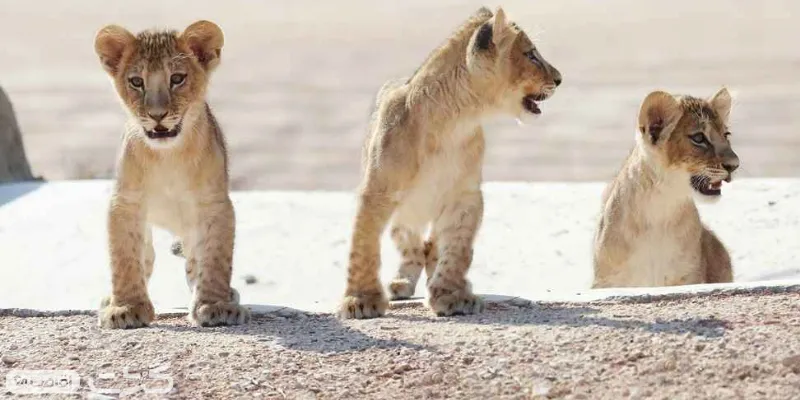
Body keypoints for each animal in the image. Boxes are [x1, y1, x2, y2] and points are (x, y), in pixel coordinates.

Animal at [94, 20, 250, 328]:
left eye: (177, 78)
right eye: (136, 82)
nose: (157, 115)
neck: (167, 155)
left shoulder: (215, 204)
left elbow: (216, 258)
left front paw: (215, 305)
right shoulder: (125, 203)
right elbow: (124, 258)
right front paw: (126, 308)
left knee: (193, 263)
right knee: (146, 258)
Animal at [338, 6, 563, 319]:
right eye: (531, 55)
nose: (559, 78)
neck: (455, 122)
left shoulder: (465, 196)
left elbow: (457, 249)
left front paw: (451, 295)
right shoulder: (378, 192)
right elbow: (364, 246)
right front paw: (361, 300)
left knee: (432, 248)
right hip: (403, 216)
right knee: (412, 247)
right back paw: (401, 283)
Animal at [592, 87, 740, 288]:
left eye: (726, 135)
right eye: (699, 138)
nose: (735, 165)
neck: (662, 206)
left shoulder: (688, 277)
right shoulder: (608, 281)